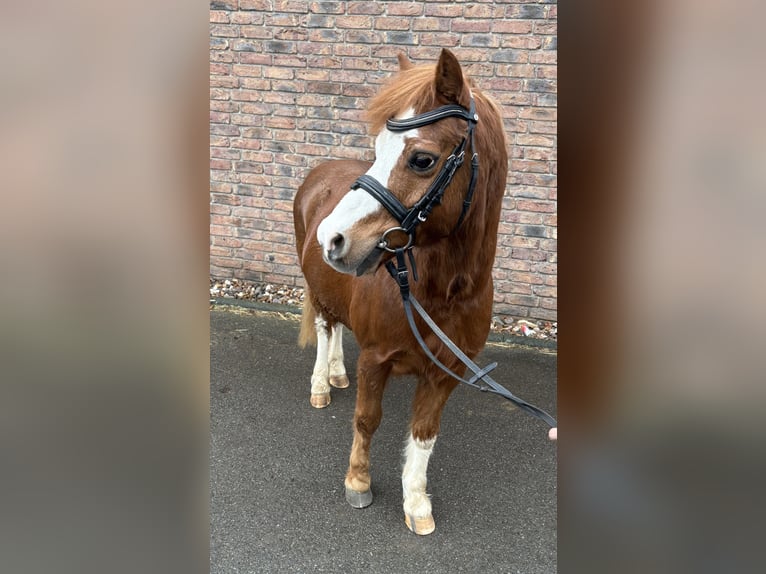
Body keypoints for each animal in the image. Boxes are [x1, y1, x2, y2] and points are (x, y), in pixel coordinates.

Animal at [292, 48, 508, 535]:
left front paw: (416, 503)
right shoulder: (377, 359)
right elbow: (367, 419)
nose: (332, 238)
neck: (440, 292)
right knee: (326, 326)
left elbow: (424, 435)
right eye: (376, 151)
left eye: (422, 160)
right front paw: (357, 483)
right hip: (318, 290)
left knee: (338, 327)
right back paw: (321, 383)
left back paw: (336, 372)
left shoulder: (446, 373)